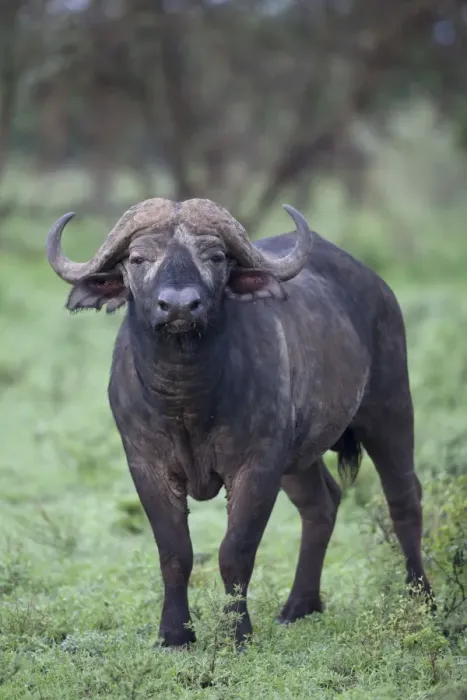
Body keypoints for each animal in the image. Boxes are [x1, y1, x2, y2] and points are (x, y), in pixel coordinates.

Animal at [46, 198, 433, 647]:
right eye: (139, 259)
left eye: (214, 257)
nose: (179, 306)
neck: (188, 398)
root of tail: (377, 286)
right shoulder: (147, 465)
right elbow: (175, 552)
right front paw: (174, 634)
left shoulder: (257, 465)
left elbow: (236, 551)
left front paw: (237, 633)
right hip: (299, 458)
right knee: (322, 504)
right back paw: (299, 605)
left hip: (390, 409)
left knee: (404, 499)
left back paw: (422, 600)